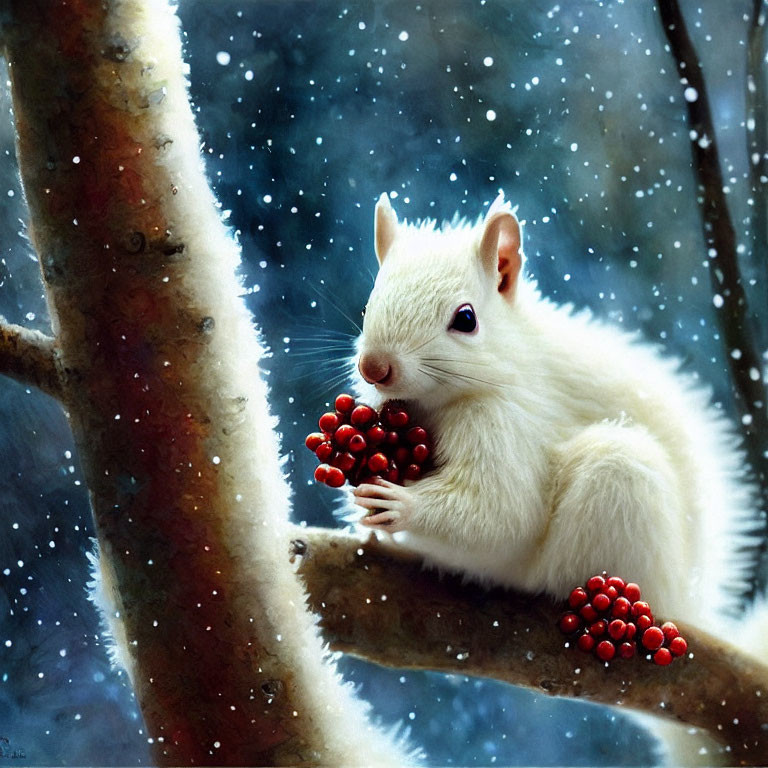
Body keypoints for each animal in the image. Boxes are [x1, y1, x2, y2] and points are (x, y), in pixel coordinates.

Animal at [352, 192, 756, 636]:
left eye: (466, 319)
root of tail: (684, 601)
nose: (375, 367)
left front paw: (403, 505)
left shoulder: (508, 421)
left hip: (619, 486)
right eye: (369, 303)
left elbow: (501, 511)